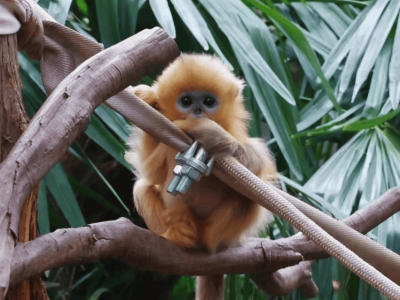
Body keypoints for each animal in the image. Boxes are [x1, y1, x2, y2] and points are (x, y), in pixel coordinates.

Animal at [126, 54, 276, 300]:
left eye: (208, 101)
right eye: (186, 101)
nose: (197, 111)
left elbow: (257, 165)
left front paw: (210, 133)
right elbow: (151, 173)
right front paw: (149, 99)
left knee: (247, 199)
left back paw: (205, 241)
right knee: (142, 188)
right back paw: (177, 231)